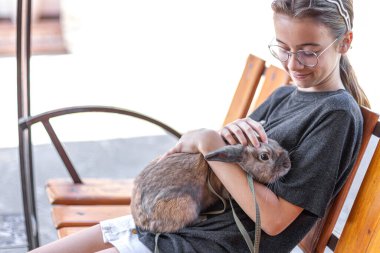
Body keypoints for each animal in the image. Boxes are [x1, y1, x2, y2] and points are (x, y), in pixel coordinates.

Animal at [131, 138, 290, 233]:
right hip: (187, 204)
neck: (239, 163)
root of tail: (143, 222)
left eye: (275, 142)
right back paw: (202, 218)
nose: (287, 164)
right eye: (264, 156)